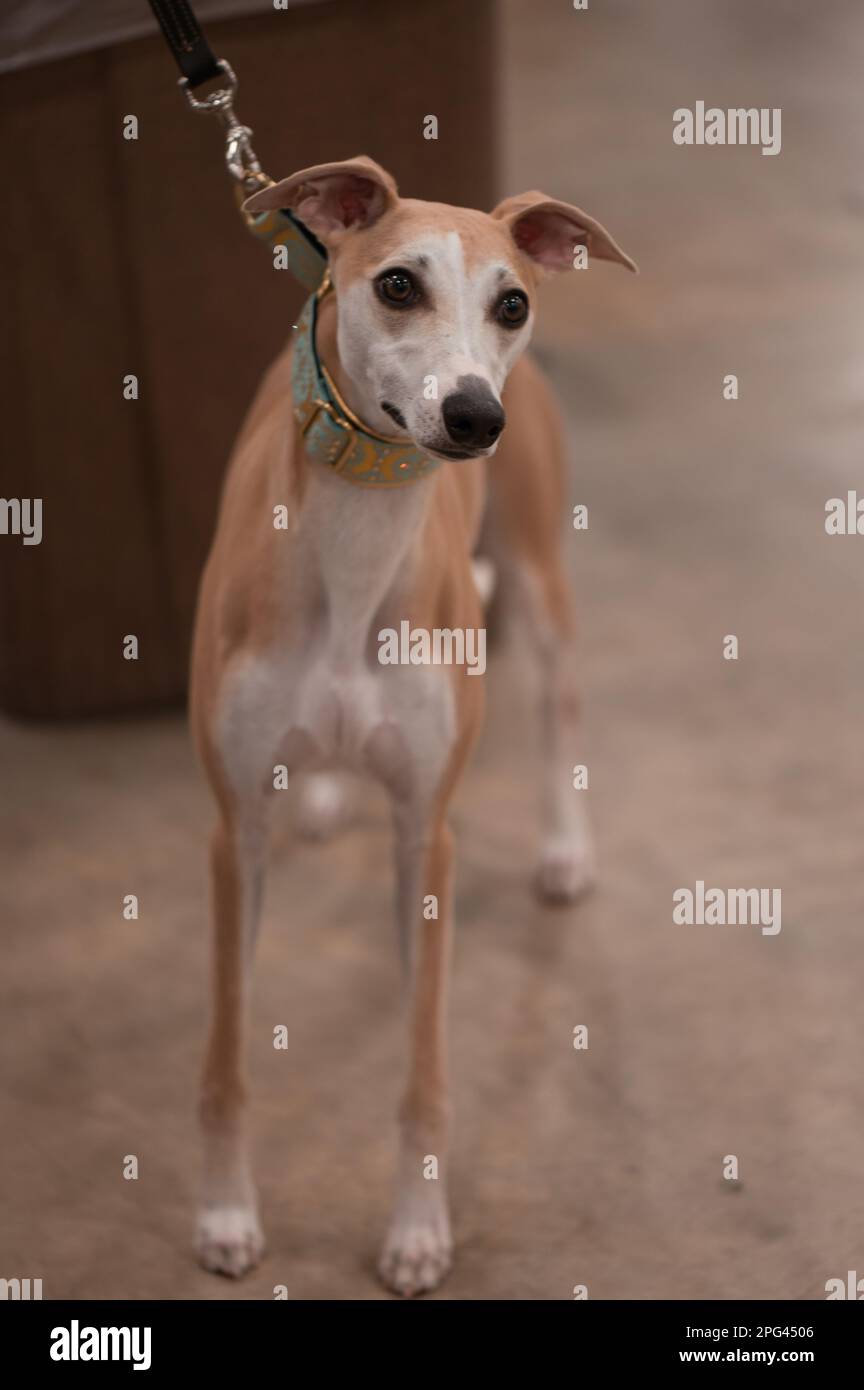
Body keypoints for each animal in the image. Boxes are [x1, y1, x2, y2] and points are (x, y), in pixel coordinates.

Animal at [191, 157, 636, 1295]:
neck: (358, 538)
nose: (476, 417)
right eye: (397, 284)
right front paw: (225, 1212)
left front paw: (418, 1228)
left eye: (511, 302)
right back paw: (326, 791)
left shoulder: (424, 836)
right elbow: (227, 1057)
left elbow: (425, 1068)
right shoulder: (232, 833)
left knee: (563, 697)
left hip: (536, 561)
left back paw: (565, 850)